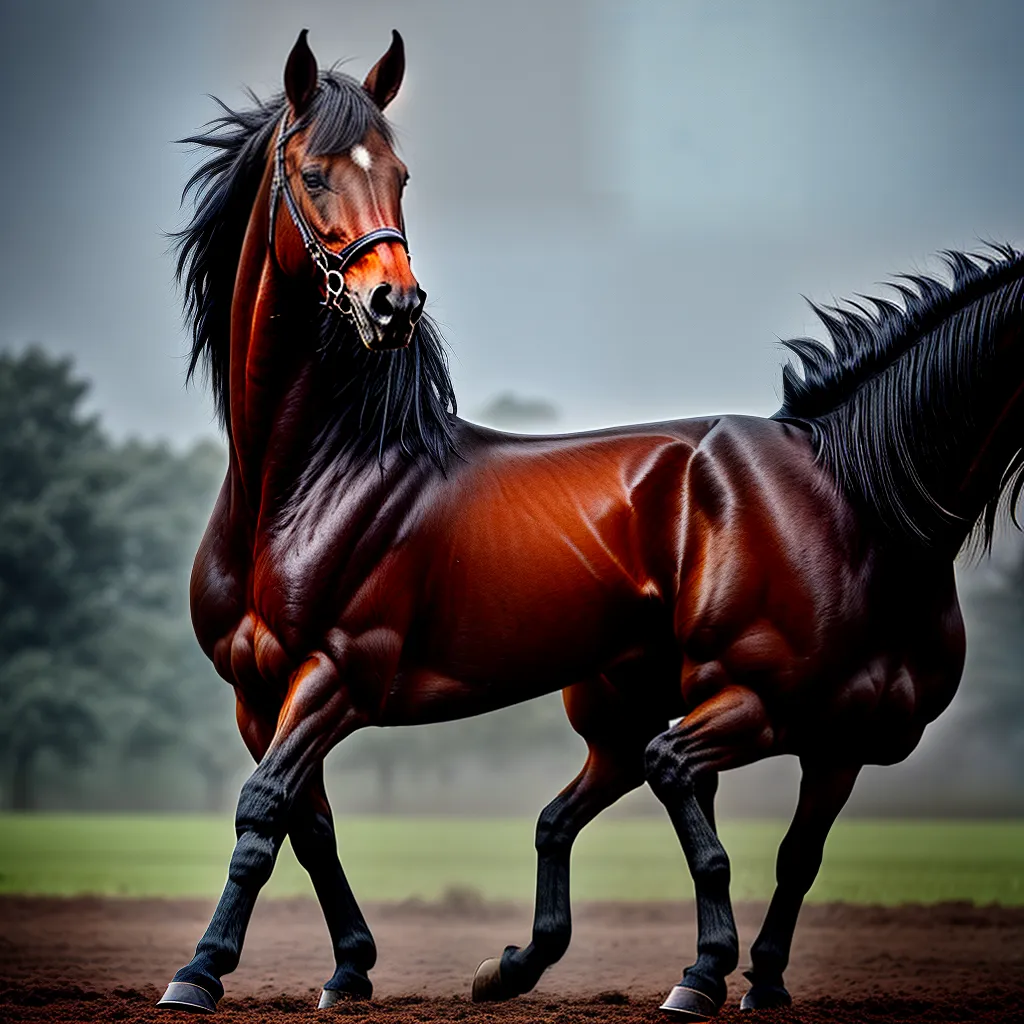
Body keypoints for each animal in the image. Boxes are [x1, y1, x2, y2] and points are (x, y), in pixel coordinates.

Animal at [156, 28, 1024, 1019]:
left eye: (401, 174)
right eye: (312, 174)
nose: (393, 304)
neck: (308, 479)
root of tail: (822, 456)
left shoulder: (336, 674)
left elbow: (265, 810)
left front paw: (202, 970)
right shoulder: (256, 690)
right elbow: (309, 824)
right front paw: (348, 968)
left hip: (760, 713)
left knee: (708, 817)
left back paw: (699, 974)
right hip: (644, 706)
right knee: (619, 810)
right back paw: (570, 967)